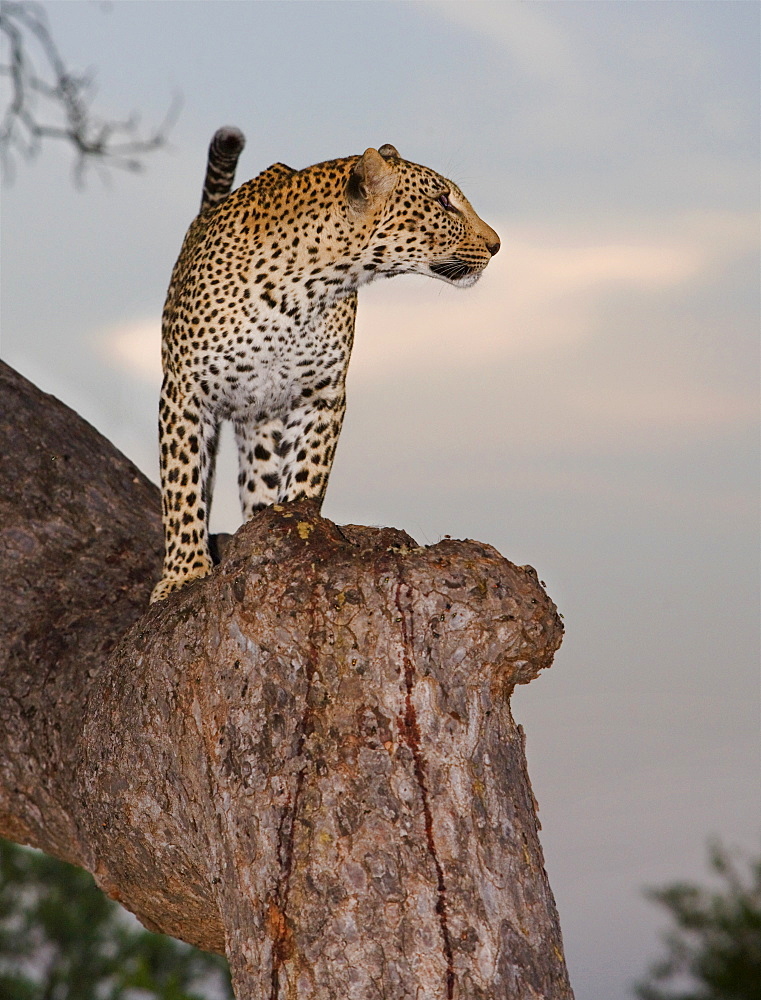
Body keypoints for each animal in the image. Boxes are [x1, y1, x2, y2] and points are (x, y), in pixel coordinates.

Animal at [151, 125, 502, 600]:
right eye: (444, 201)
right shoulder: (185, 391)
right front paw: (184, 574)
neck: (307, 291)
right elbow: (182, 485)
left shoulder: (322, 395)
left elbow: (306, 473)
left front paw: (295, 529)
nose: (497, 245)